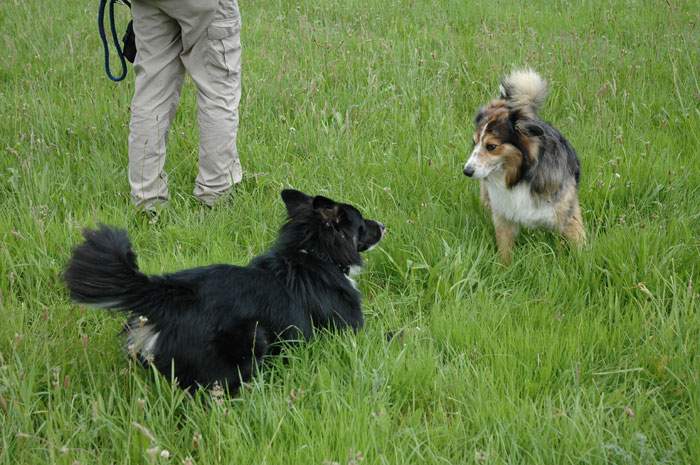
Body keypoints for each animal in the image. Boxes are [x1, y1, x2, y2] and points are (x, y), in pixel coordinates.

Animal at [63, 188, 386, 388]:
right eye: (362, 223)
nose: (383, 225)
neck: (316, 254)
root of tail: (170, 292)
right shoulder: (350, 332)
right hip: (250, 341)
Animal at [464, 70, 584, 262]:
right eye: (474, 143)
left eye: (491, 146)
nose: (467, 171)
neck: (521, 176)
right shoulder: (503, 217)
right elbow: (505, 251)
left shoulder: (568, 215)